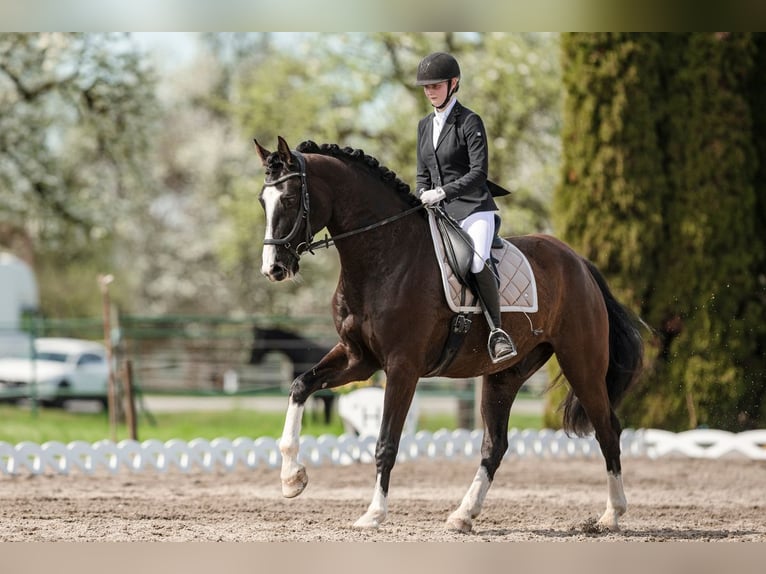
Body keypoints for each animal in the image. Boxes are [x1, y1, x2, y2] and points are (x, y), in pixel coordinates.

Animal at [253, 136, 645, 533]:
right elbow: (300, 386)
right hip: (506, 374)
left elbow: (386, 442)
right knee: (495, 445)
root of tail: (578, 261)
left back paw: (612, 514)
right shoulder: (357, 358)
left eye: (289, 199)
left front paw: (373, 514)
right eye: (262, 201)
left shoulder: (402, 367)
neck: (384, 256)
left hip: (581, 363)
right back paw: (463, 514)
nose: (274, 269)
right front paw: (292, 479)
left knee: (608, 429)